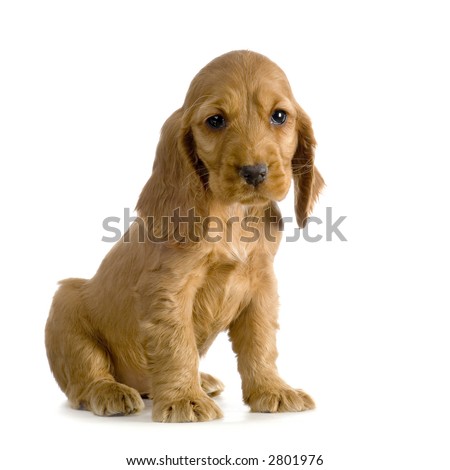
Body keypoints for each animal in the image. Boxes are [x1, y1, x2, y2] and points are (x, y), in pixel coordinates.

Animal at [44, 50, 324, 422]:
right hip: (67, 303)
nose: (254, 172)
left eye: (279, 116)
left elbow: (261, 342)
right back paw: (110, 391)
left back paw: (201, 381)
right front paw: (183, 401)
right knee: (84, 375)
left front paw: (273, 390)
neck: (232, 216)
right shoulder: (168, 289)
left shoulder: (261, 286)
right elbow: (178, 345)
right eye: (216, 121)